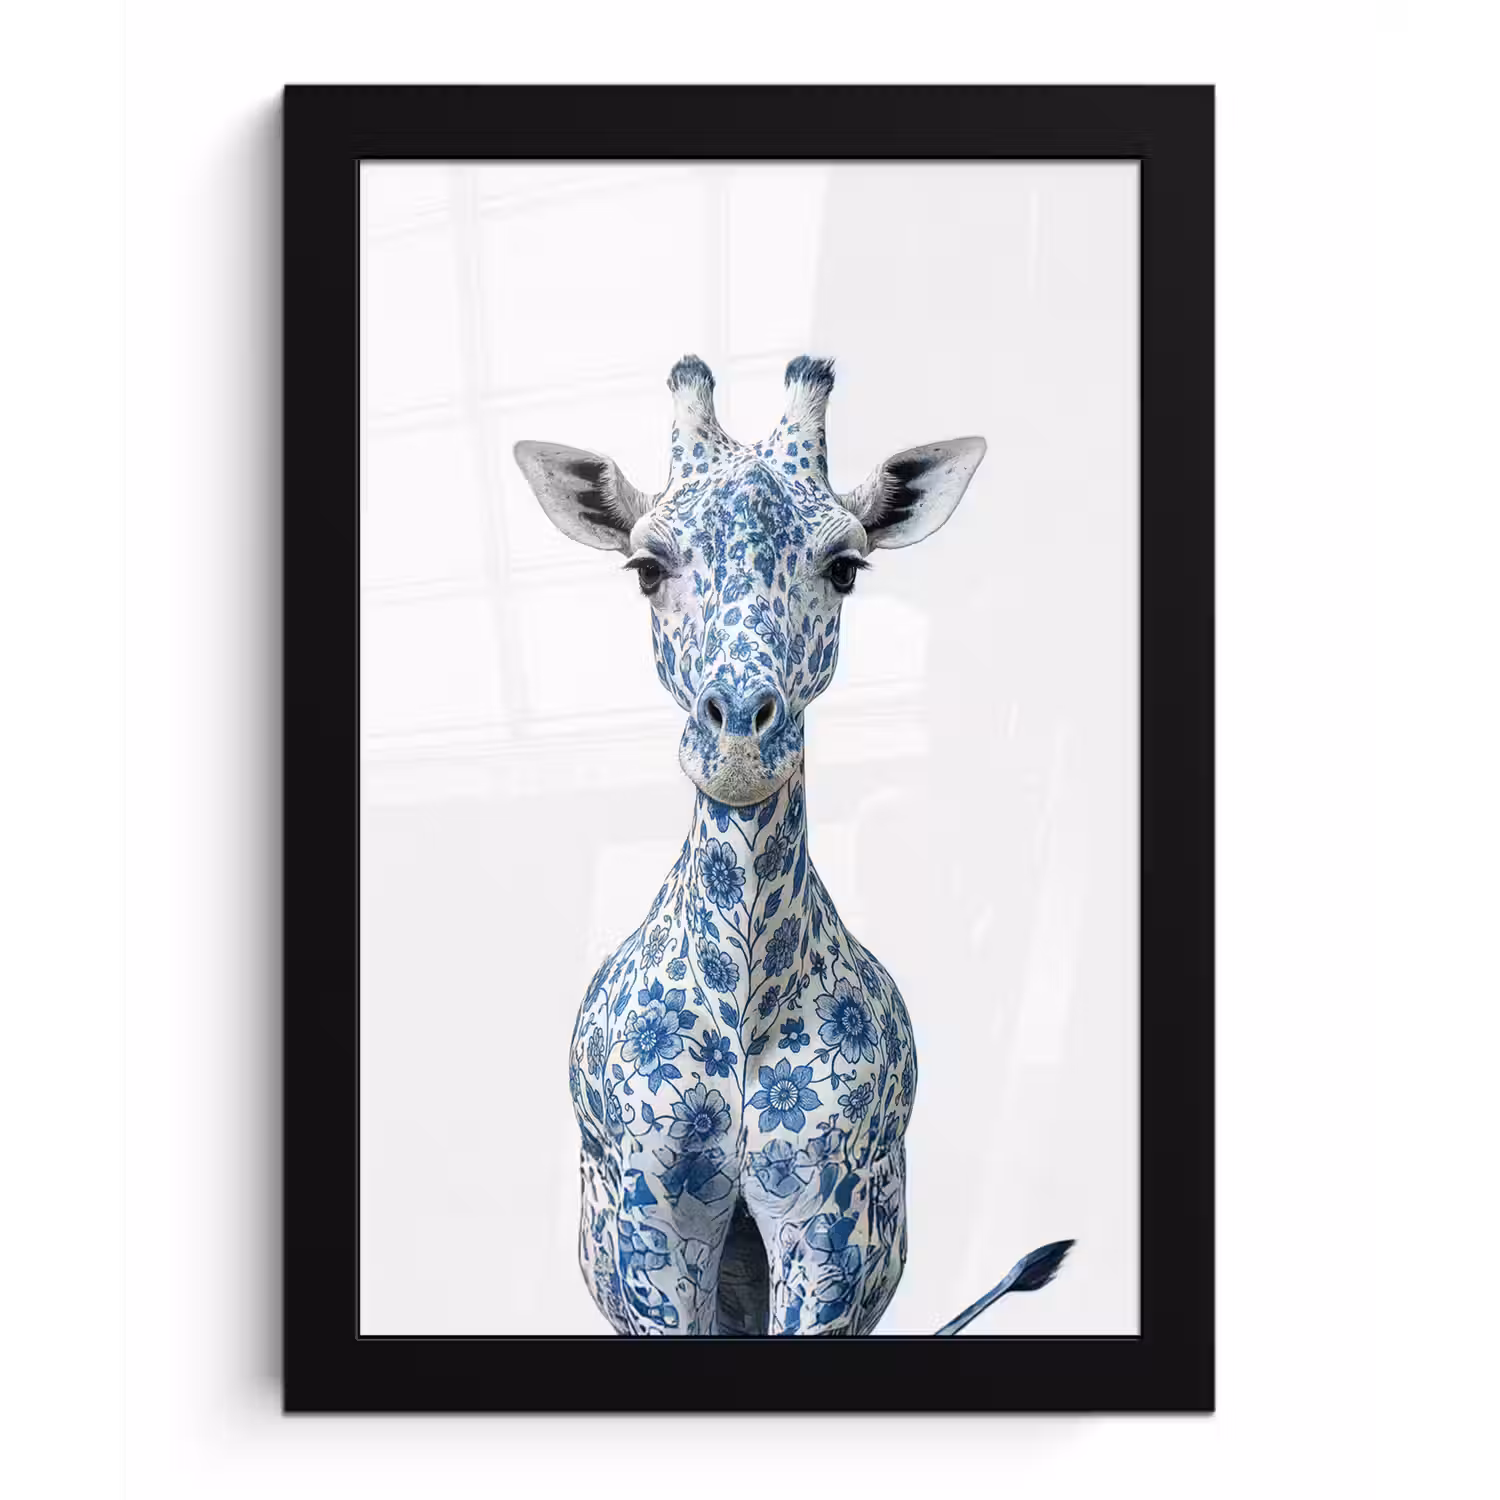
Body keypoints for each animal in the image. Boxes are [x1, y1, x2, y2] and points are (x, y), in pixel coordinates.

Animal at [516, 355, 1069, 1335]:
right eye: (646, 567)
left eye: (845, 567)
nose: (740, 737)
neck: (746, 1005)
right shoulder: (654, 1222)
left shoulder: (827, 1224)